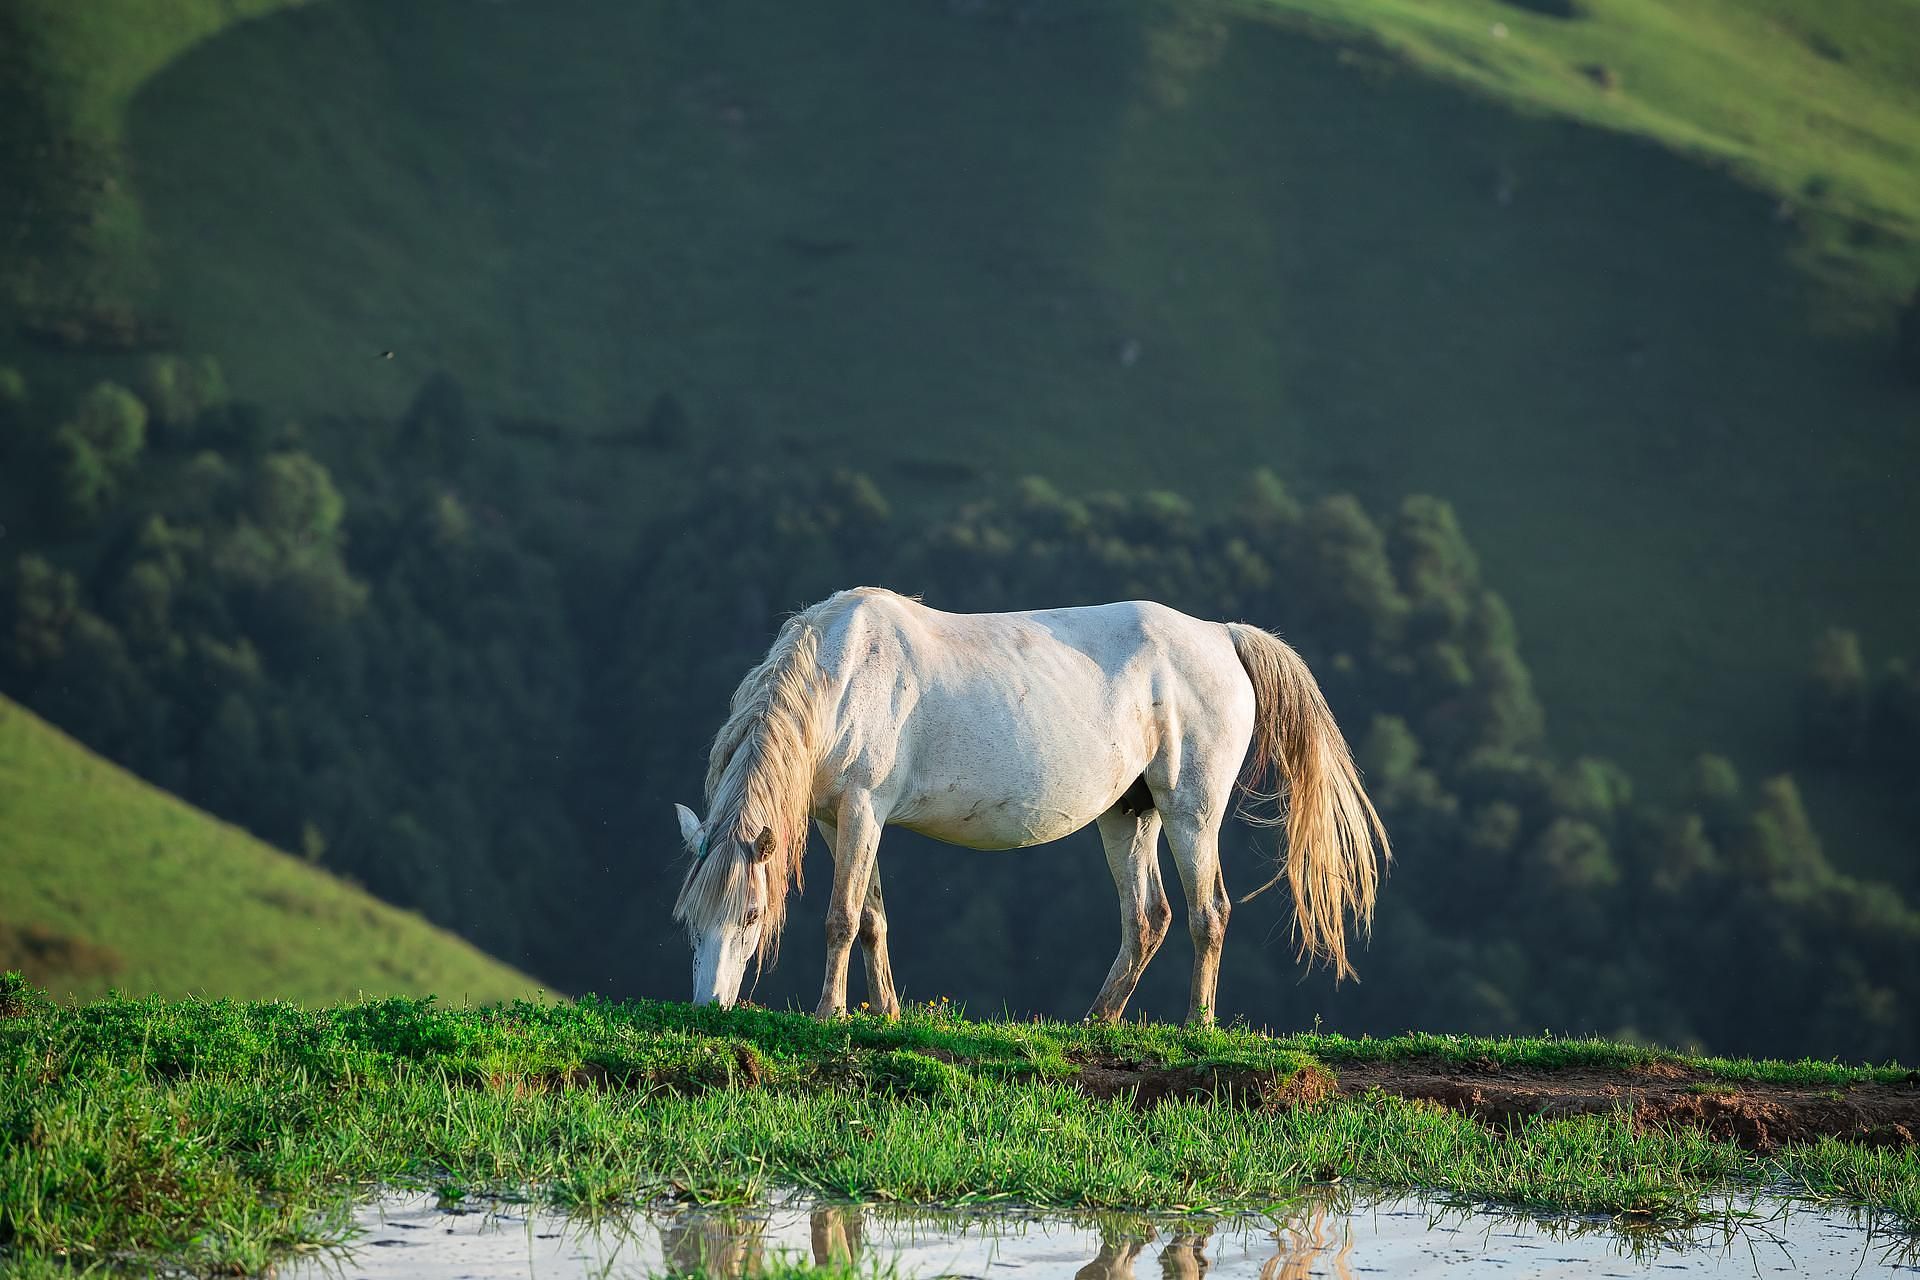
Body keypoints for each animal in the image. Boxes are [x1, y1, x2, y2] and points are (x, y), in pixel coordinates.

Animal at [679, 587, 1397, 1028]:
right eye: (688, 920)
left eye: (751, 914)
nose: (707, 1007)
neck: (845, 668)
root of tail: (1223, 637)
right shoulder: (841, 819)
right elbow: (873, 918)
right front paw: (887, 1014)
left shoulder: (862, 807)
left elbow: (841, 918)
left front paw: (831, 1014)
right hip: (1129, 814)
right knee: (1149, 916)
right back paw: (1098, 1020)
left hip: (1190, 811)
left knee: (1207, 913)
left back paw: (1198, 1025)